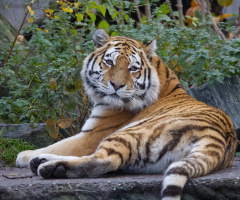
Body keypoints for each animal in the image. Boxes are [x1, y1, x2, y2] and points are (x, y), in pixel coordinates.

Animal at [15, 28, 237, 199]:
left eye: (132, 68)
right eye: (110, 63)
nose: (116, 85)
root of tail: (218, 139)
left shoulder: (92, 135)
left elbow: (62, 144)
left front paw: (23, 155)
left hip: (126, 133)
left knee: (105, 160)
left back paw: (49, 167)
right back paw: (42, 161)